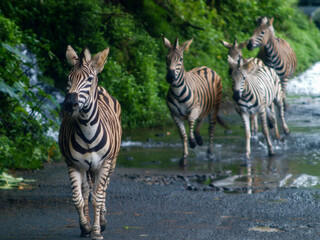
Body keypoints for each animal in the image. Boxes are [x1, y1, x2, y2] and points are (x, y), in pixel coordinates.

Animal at [58, 46, 121, 239]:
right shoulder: (72, 164)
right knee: (86, 191)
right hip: (85, 167)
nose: (69, 104)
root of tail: (101, 88)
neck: (87, 133)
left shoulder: (104, 164)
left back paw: (103, 220)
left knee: (103, 189)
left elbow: (98, 199)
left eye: (89, 79)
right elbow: (78, 198)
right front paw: (85, 227)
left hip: (111, 162)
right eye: (68, 78)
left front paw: (97, 231)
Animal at [162, 36, 222, 167]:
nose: (170, 77)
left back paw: (209, 153)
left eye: (181, 59)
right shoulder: (175, 115)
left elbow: (190, 120)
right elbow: (183, 136)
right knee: (200, 121)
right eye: (166, 58)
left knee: (211, 127)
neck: (178, 92)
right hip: (204, 107)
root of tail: (205, 67)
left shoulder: (195, 108)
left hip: (214, 107)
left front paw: (193, 142)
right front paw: (184, 157)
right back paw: (199, 138)